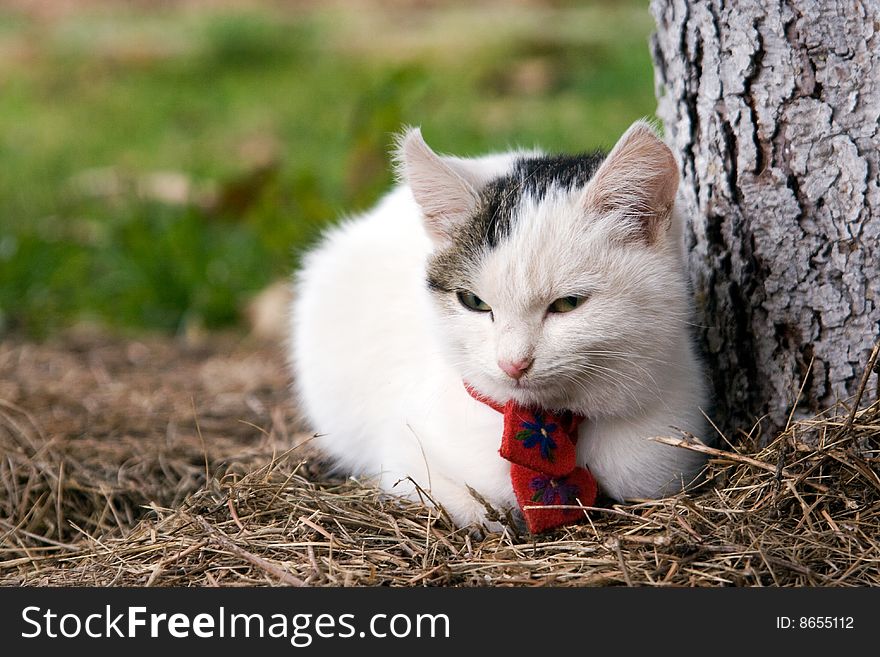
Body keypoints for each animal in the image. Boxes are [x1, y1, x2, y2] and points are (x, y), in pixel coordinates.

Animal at [292, 120, 712, 532]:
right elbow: (465, 503)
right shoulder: (406, 457)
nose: (513, 363)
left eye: (567, 304)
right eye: (474, 302)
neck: (552, 425)